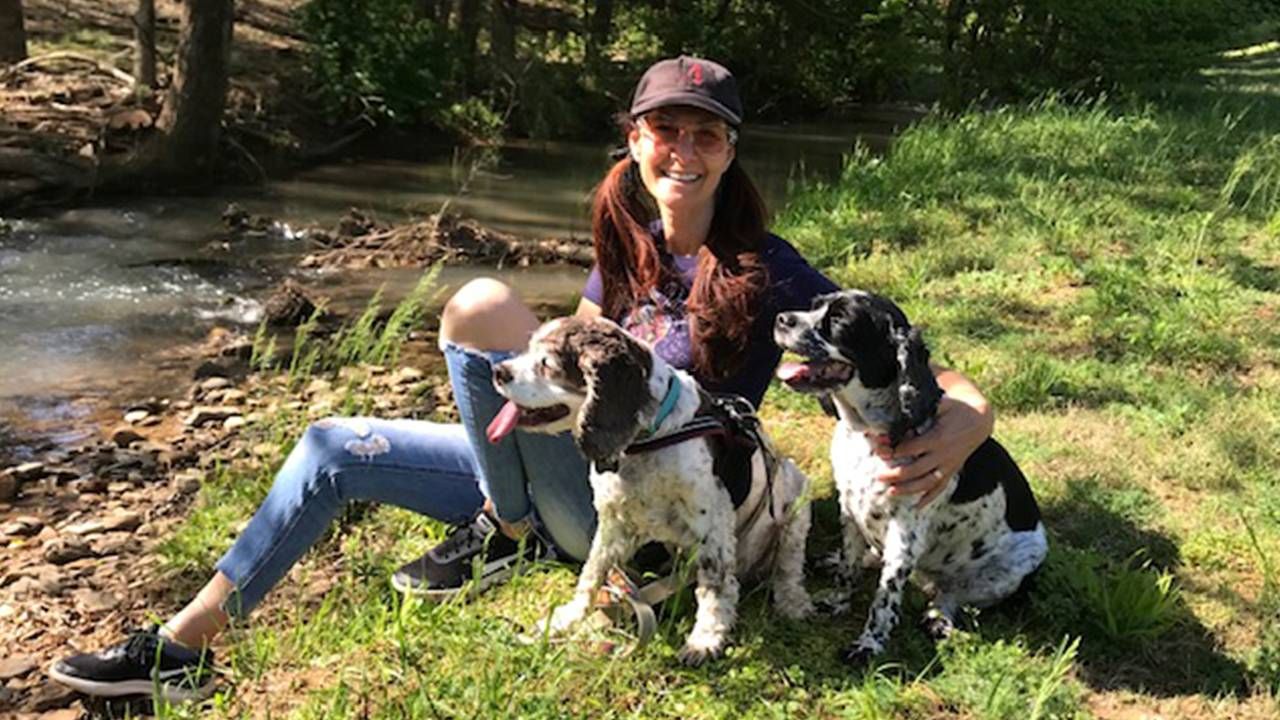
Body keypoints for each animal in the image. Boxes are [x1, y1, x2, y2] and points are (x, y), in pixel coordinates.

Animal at [483, 316, 814, 666]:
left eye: (547, 363)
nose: (499, 371)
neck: (649, 439)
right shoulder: (614, 521)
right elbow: (593, 570)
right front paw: (570, 616)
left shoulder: (711, 521)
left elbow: (715, 585)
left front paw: (704, 640)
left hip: (796, 497)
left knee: (788, 567)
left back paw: (794, 603)